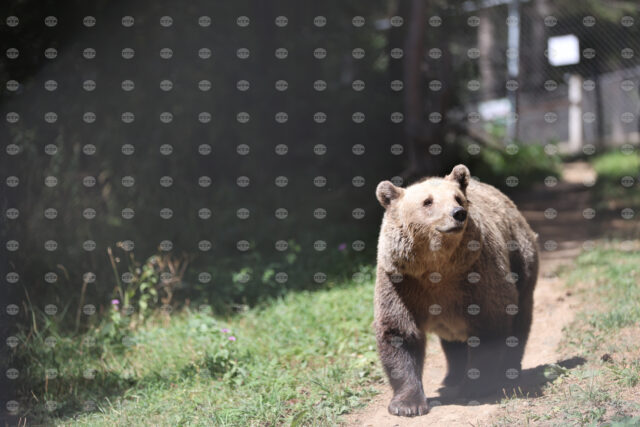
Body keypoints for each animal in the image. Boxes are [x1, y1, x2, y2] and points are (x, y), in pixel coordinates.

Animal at [374, 164, 538, 417]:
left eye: (458, 198)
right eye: (427, 201)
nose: (458, 213)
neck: (437, 267)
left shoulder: (477, 274)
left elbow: (489, 324)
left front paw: (475, 387)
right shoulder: (401, 281)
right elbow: (399, 331)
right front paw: (407, 404)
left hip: (521, 261)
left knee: (520, 322)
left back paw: (510, 370)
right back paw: (451, 376)